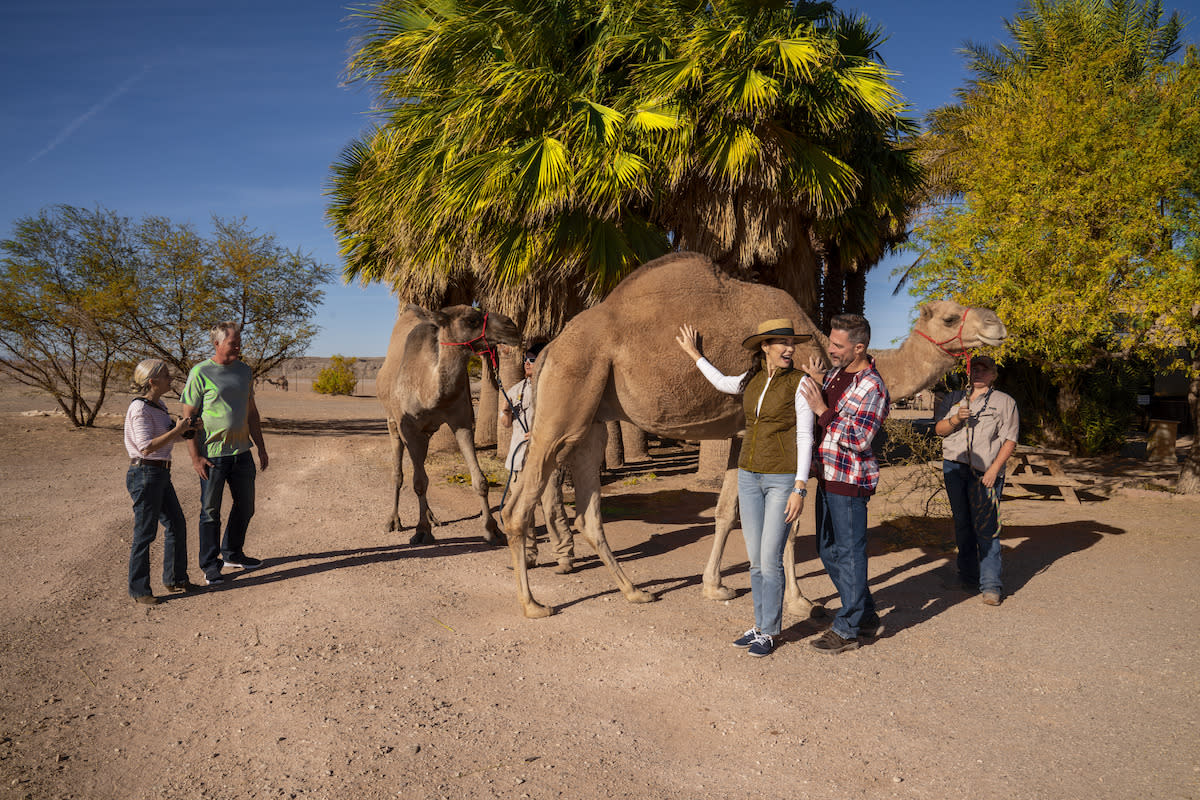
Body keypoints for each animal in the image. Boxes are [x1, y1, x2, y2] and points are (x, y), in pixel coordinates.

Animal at [379, 303, 520, 546]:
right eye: (471, 319)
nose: (511, 326)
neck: (429, 389)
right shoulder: (409, 428)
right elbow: (418, 482)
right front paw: (421, 531)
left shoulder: (461, 421)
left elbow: (480, 480)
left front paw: (493, 530)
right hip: (393, 424)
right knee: (400, 474)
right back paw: (394, 521)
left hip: (426, 434)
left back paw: (432, 516)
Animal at [501, 250, 1008, 618]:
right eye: (949, 317)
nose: (996, 324)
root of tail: (547, 352)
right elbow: (787, 520)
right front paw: (800, 601)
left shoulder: (742, 431)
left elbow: (728, 512)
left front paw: (716, 587)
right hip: (567, 398)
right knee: (519, 505)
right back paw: (533, 604)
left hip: (591, 418)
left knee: (587, 513)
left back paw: (634, 593)